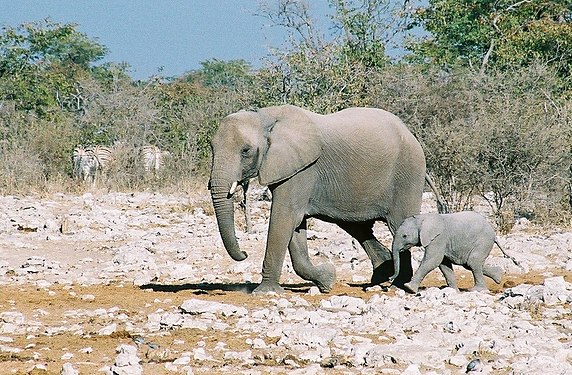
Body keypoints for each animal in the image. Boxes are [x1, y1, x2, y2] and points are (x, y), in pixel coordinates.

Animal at [209, 104, 424, 296]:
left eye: (246, 150)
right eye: (211, 147)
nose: (244, 254)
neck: (265, 115)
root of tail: (409, 132)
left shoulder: (302, 169)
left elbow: (284, 217)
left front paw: (265, 292)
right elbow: (295, 225)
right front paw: (328, 280)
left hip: (408, 173)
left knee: (398, 225)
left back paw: (399, 285)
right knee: (358, 227)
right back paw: (381, 277)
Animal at [388, 212, 520, 294]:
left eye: (405, 236)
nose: (389, 279)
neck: (423, 218)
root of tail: (494, 234)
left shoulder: (438, 237)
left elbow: (433, 260)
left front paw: (409, 288)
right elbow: (443, 264)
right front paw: (453, 291)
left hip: (483, 241)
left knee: (472, 262)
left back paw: (476, 290)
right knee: (469, 264)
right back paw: (499, 276)